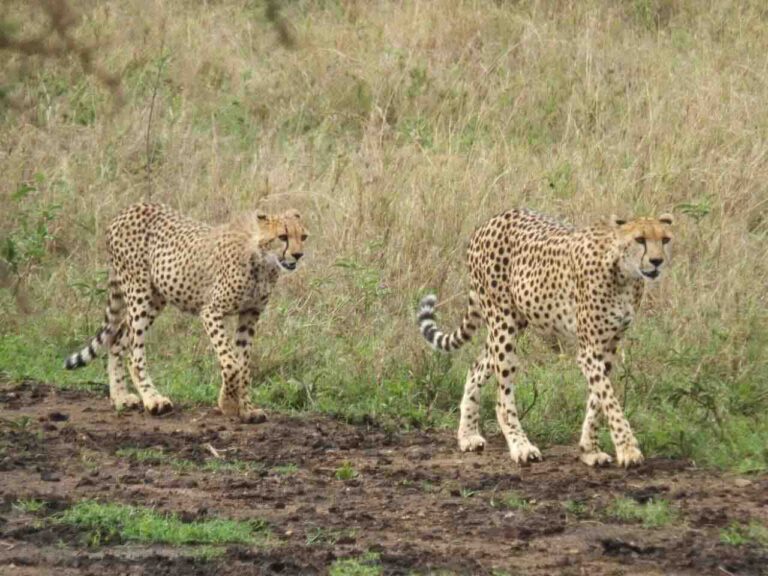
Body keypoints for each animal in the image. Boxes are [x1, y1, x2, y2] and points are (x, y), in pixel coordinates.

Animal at [64, 201, 308, 418]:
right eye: (283, 237)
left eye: (303, 237)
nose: (298, 255)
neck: (263, 261)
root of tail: (128, 209)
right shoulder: (211, 311)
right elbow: (231, 362)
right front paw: (229, 404)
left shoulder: (250, 314)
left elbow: (243, 363)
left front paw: (245, 408)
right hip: (140, 293)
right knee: (134, 352)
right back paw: (153, 400)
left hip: (155, 297)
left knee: (118, 336)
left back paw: (120, 398)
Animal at [416, 209, 676, 466]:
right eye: (640, 239)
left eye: (665, 239)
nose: (657, 261)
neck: (624, 275)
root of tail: (492, 220)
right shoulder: (589, 351)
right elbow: (610, 401)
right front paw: (627, 449)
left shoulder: (609, 346)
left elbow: (597, 400)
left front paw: (589, 449)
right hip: (504, 324)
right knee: (502, 398)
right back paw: (521, 447)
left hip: (513, 322)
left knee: (477, 366)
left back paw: (467, 435)